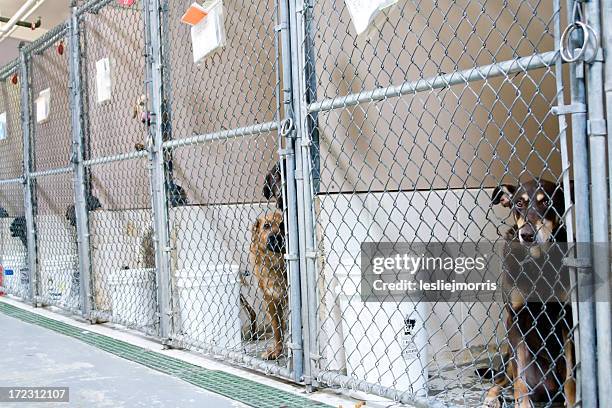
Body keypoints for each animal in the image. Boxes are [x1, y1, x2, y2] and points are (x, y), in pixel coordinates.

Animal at [249, 212, 286, 358]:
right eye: (266, 225)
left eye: (282, 225)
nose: (275, 238)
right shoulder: (270, 299)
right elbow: (277, 328)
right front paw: (277, 351)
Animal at [482, 178, 572, 408]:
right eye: (519, 204)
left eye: (546, 202)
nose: (527, 235)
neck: (537, 261)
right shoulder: (516, 319)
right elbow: (520, 378)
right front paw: (521, 404)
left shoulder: (567, 317)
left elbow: (572, 375)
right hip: (508, 355)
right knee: (503, 377)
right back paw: (492, 397)